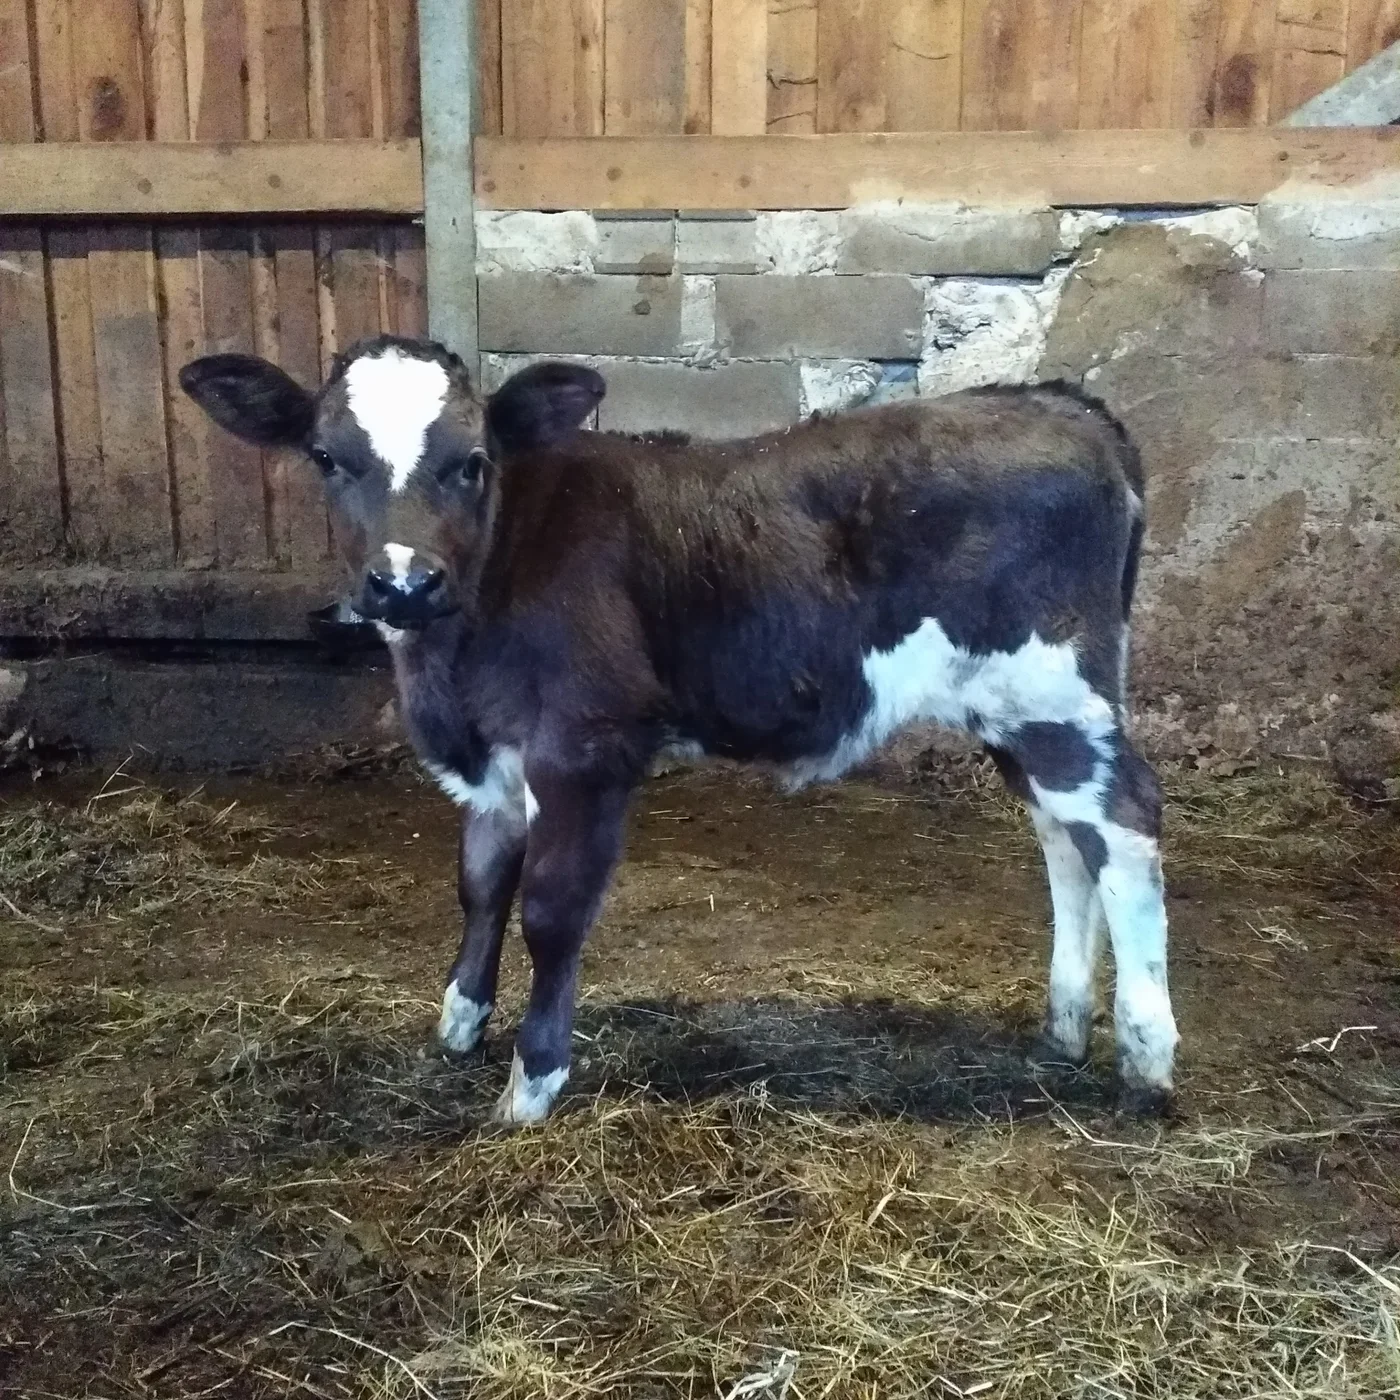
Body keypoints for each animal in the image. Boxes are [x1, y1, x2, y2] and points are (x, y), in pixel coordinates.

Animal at [179, 335, 1178, 1125]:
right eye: (325, 455)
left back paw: (1148, 1053)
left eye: (471, 460)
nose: (402, 583)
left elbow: (550, 908)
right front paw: (460, 1021)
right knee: (1065, 836)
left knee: (1125, 821)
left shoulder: (583, 746)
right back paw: (1065, 1025)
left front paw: (532, 1084)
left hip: (1054, 690)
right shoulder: (498, 758)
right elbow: (480, 885)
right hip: (1018, 709)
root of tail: (1058, 402)